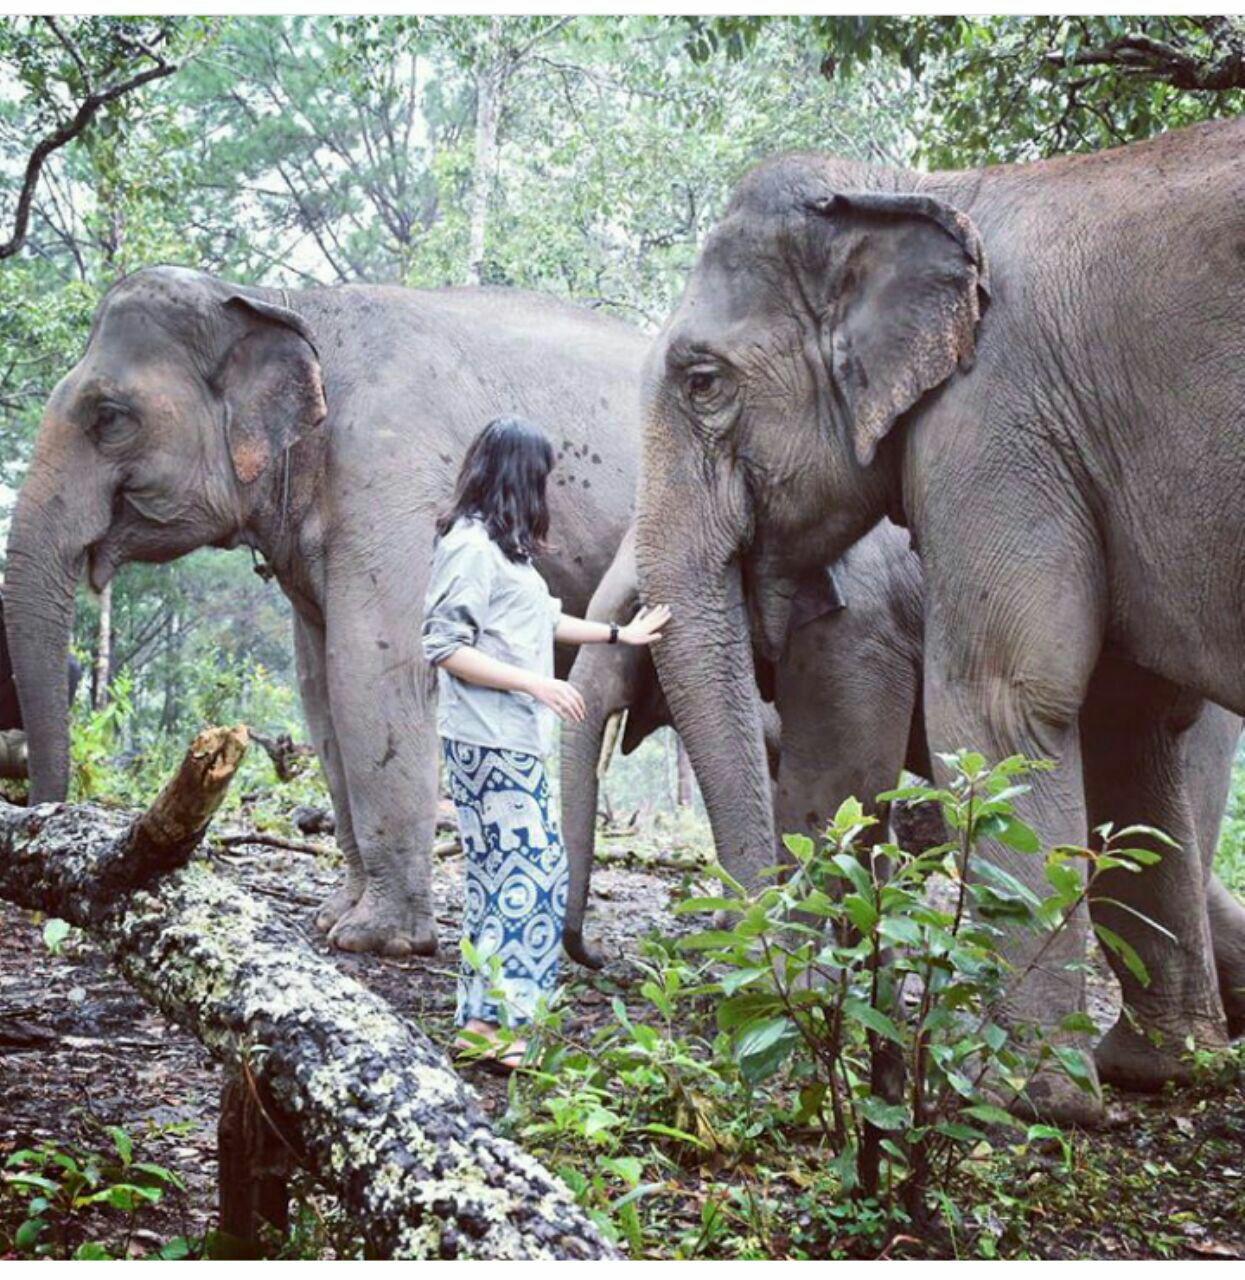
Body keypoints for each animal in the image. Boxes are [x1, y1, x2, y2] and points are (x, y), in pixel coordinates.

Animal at [2, 264, 642, 957]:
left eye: (110, 416)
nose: (42, 832)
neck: (289, 307)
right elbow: (319, 685)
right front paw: (332, 921)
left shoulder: (391, 476)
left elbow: (372, 668)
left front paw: (379, 941)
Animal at [637, 117, 1243, 1121]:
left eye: (702, 381)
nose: (780, 1005)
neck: (926, 186)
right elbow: (1124, 723)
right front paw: (1157, 1071)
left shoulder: (996, 421)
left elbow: (1000, 699)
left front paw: (1021, 1096)